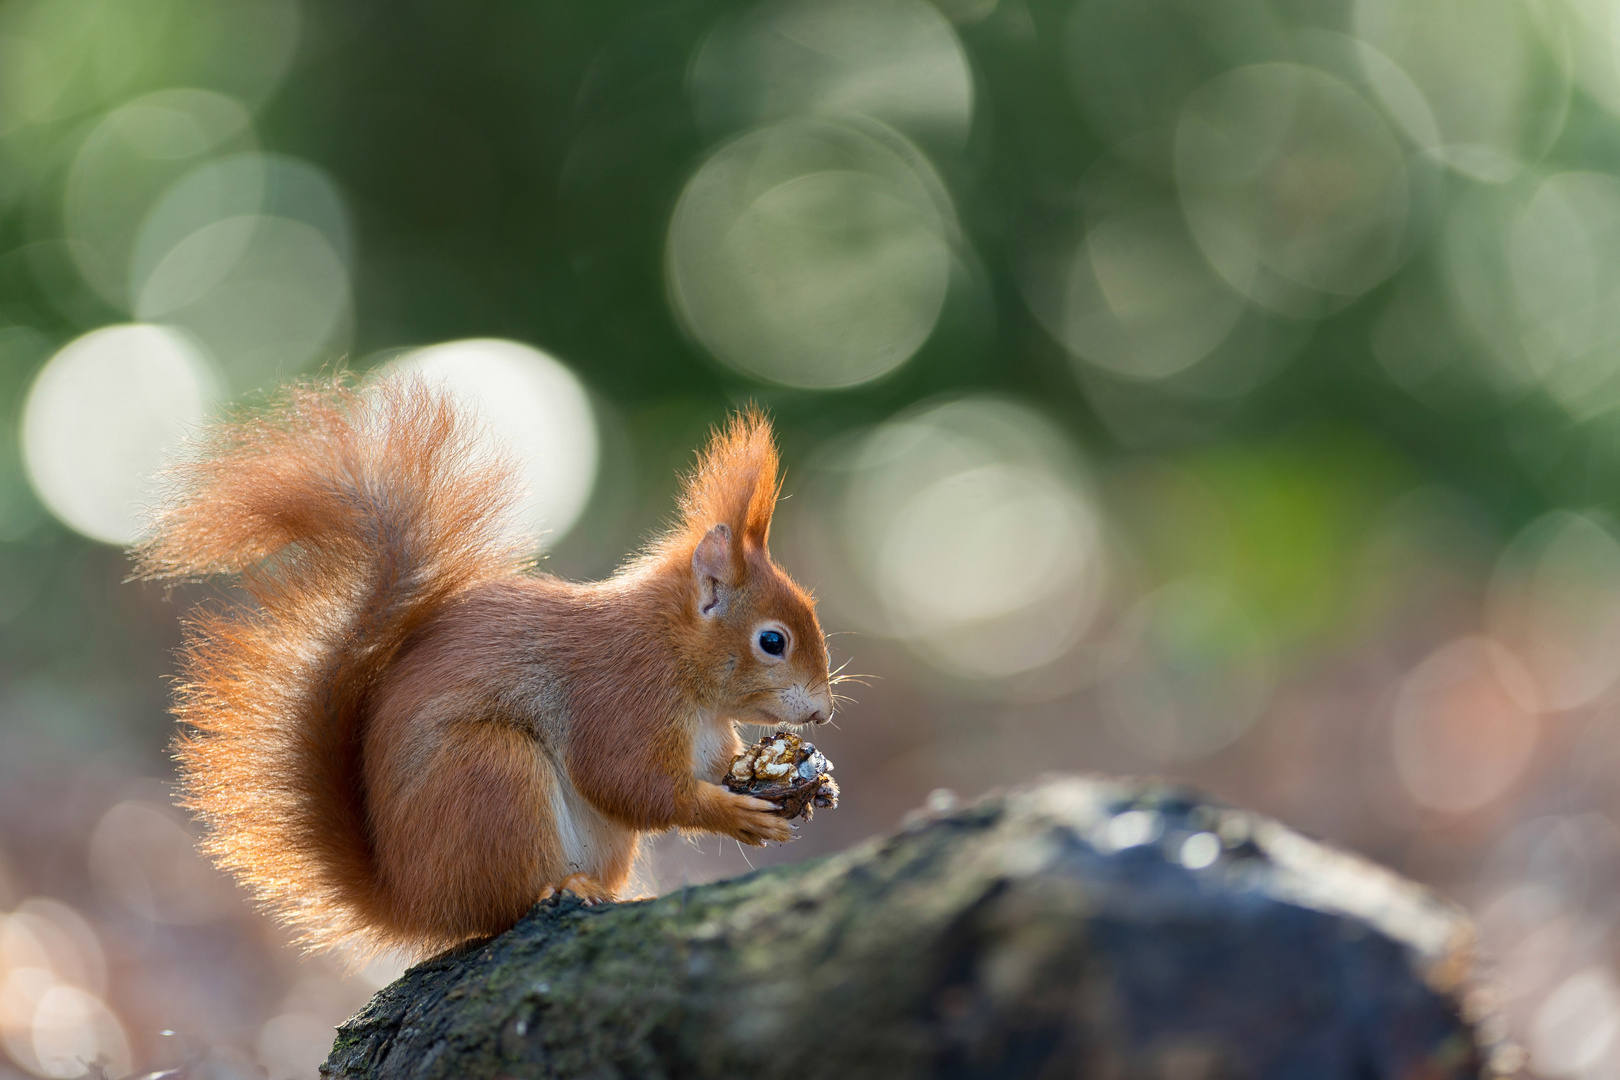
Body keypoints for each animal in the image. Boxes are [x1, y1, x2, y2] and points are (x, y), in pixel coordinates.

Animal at [136, 378, 835, 952]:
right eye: (773, 642)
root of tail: (414, 901)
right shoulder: (619, 695)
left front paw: (789, 780)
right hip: (492, 776)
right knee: (503, 907)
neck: (680, 663)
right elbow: (630, 782)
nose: (824, 712)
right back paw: (564, 890)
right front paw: (733, 813)